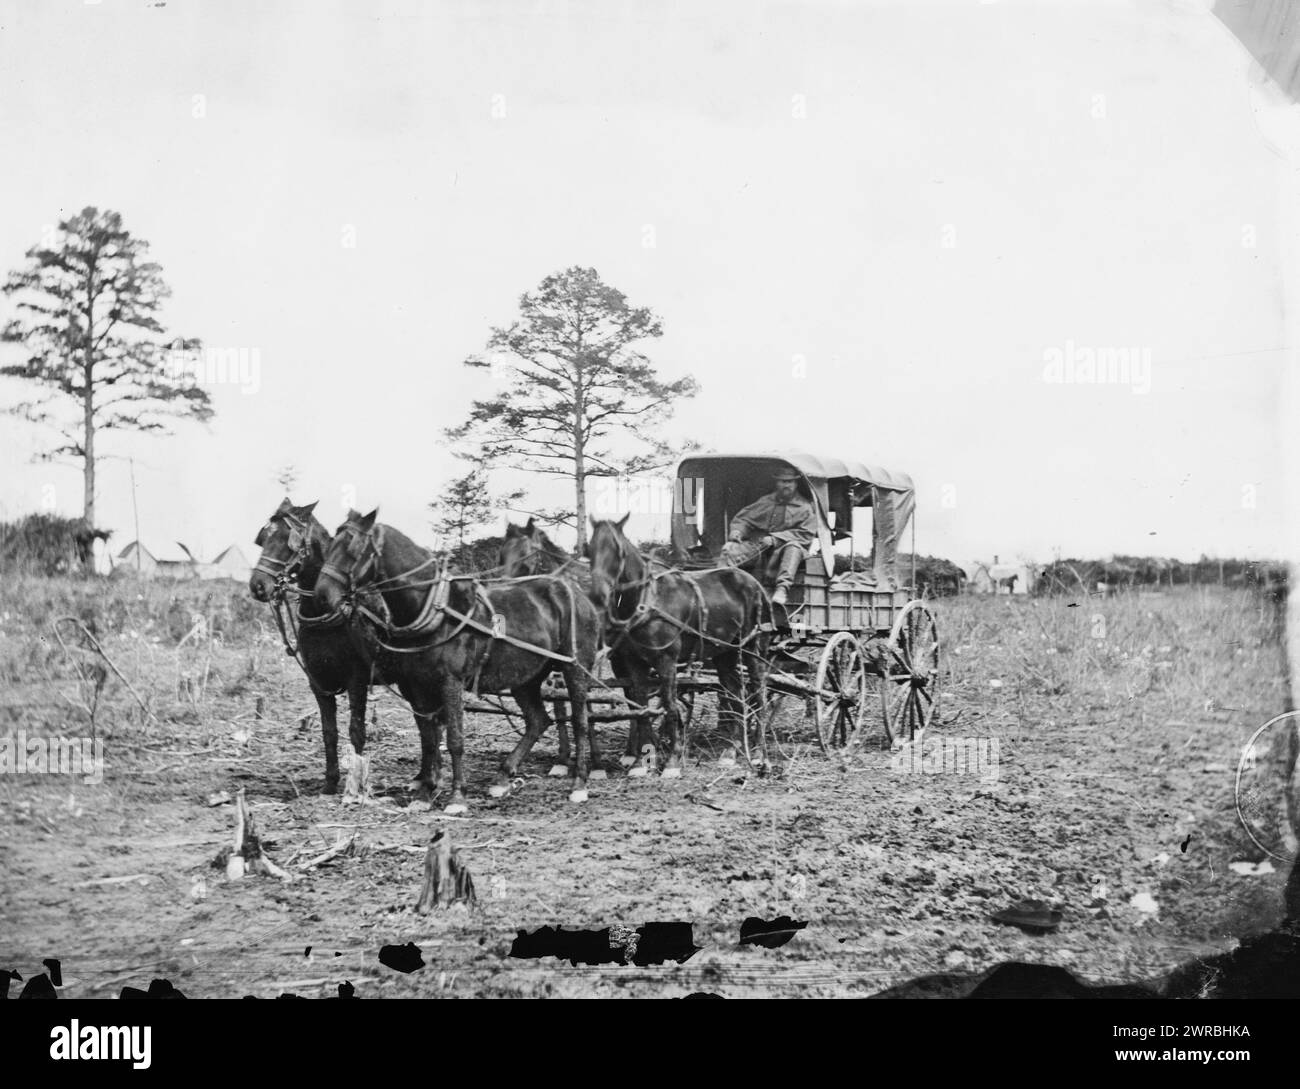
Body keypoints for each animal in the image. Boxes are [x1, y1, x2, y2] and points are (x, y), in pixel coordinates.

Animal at [248, 499, 397, 795]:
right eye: (264, 537)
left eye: (288, 540)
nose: (258, 586)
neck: (328, 612)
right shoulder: (318, 682)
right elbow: (329, 732)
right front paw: (330, 781)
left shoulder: (357, 680)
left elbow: (356, 731)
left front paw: (355, 784)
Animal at [314, 512, 603, 810]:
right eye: (330, 543)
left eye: (353, 548)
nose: (322, 594)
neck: (436, 609)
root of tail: (575, 591)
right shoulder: (418, 685)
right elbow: (429, 738)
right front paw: (425, 792)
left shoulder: (449, 682)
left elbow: (454, 738)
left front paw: (456, 796)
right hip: (526, 676)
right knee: (538, 720)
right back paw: (502, 777)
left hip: (575, 667)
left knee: (581, 719)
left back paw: (580, 782)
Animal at [587, 517, 769, 769]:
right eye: (589, 548)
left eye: (619, 550)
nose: (598, 591)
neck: (647, 601)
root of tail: (753, 582)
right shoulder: (633, 662)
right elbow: (641, 708)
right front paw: (641, 762)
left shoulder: (666, 660)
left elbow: (671, 707)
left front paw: (672, 760)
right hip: (725, 652)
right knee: (735, 693)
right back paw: (731, 751)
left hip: (750, 647)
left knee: (758, 691)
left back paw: (760, 751)